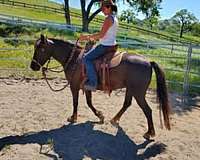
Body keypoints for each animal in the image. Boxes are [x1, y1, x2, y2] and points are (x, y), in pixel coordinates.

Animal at [30, 34, 171, 139]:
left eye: (41, 49)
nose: (33, 66)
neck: (74, 59)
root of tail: (148, 62)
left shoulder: (74, 86)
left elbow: (76, 102)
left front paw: (73, 118)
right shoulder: (87, 87)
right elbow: (89, 102)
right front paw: (100, 115)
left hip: (139, 93)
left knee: (147, 110)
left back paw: (149, 133)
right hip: (131, 89)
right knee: (127, 104)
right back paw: (114, 119)